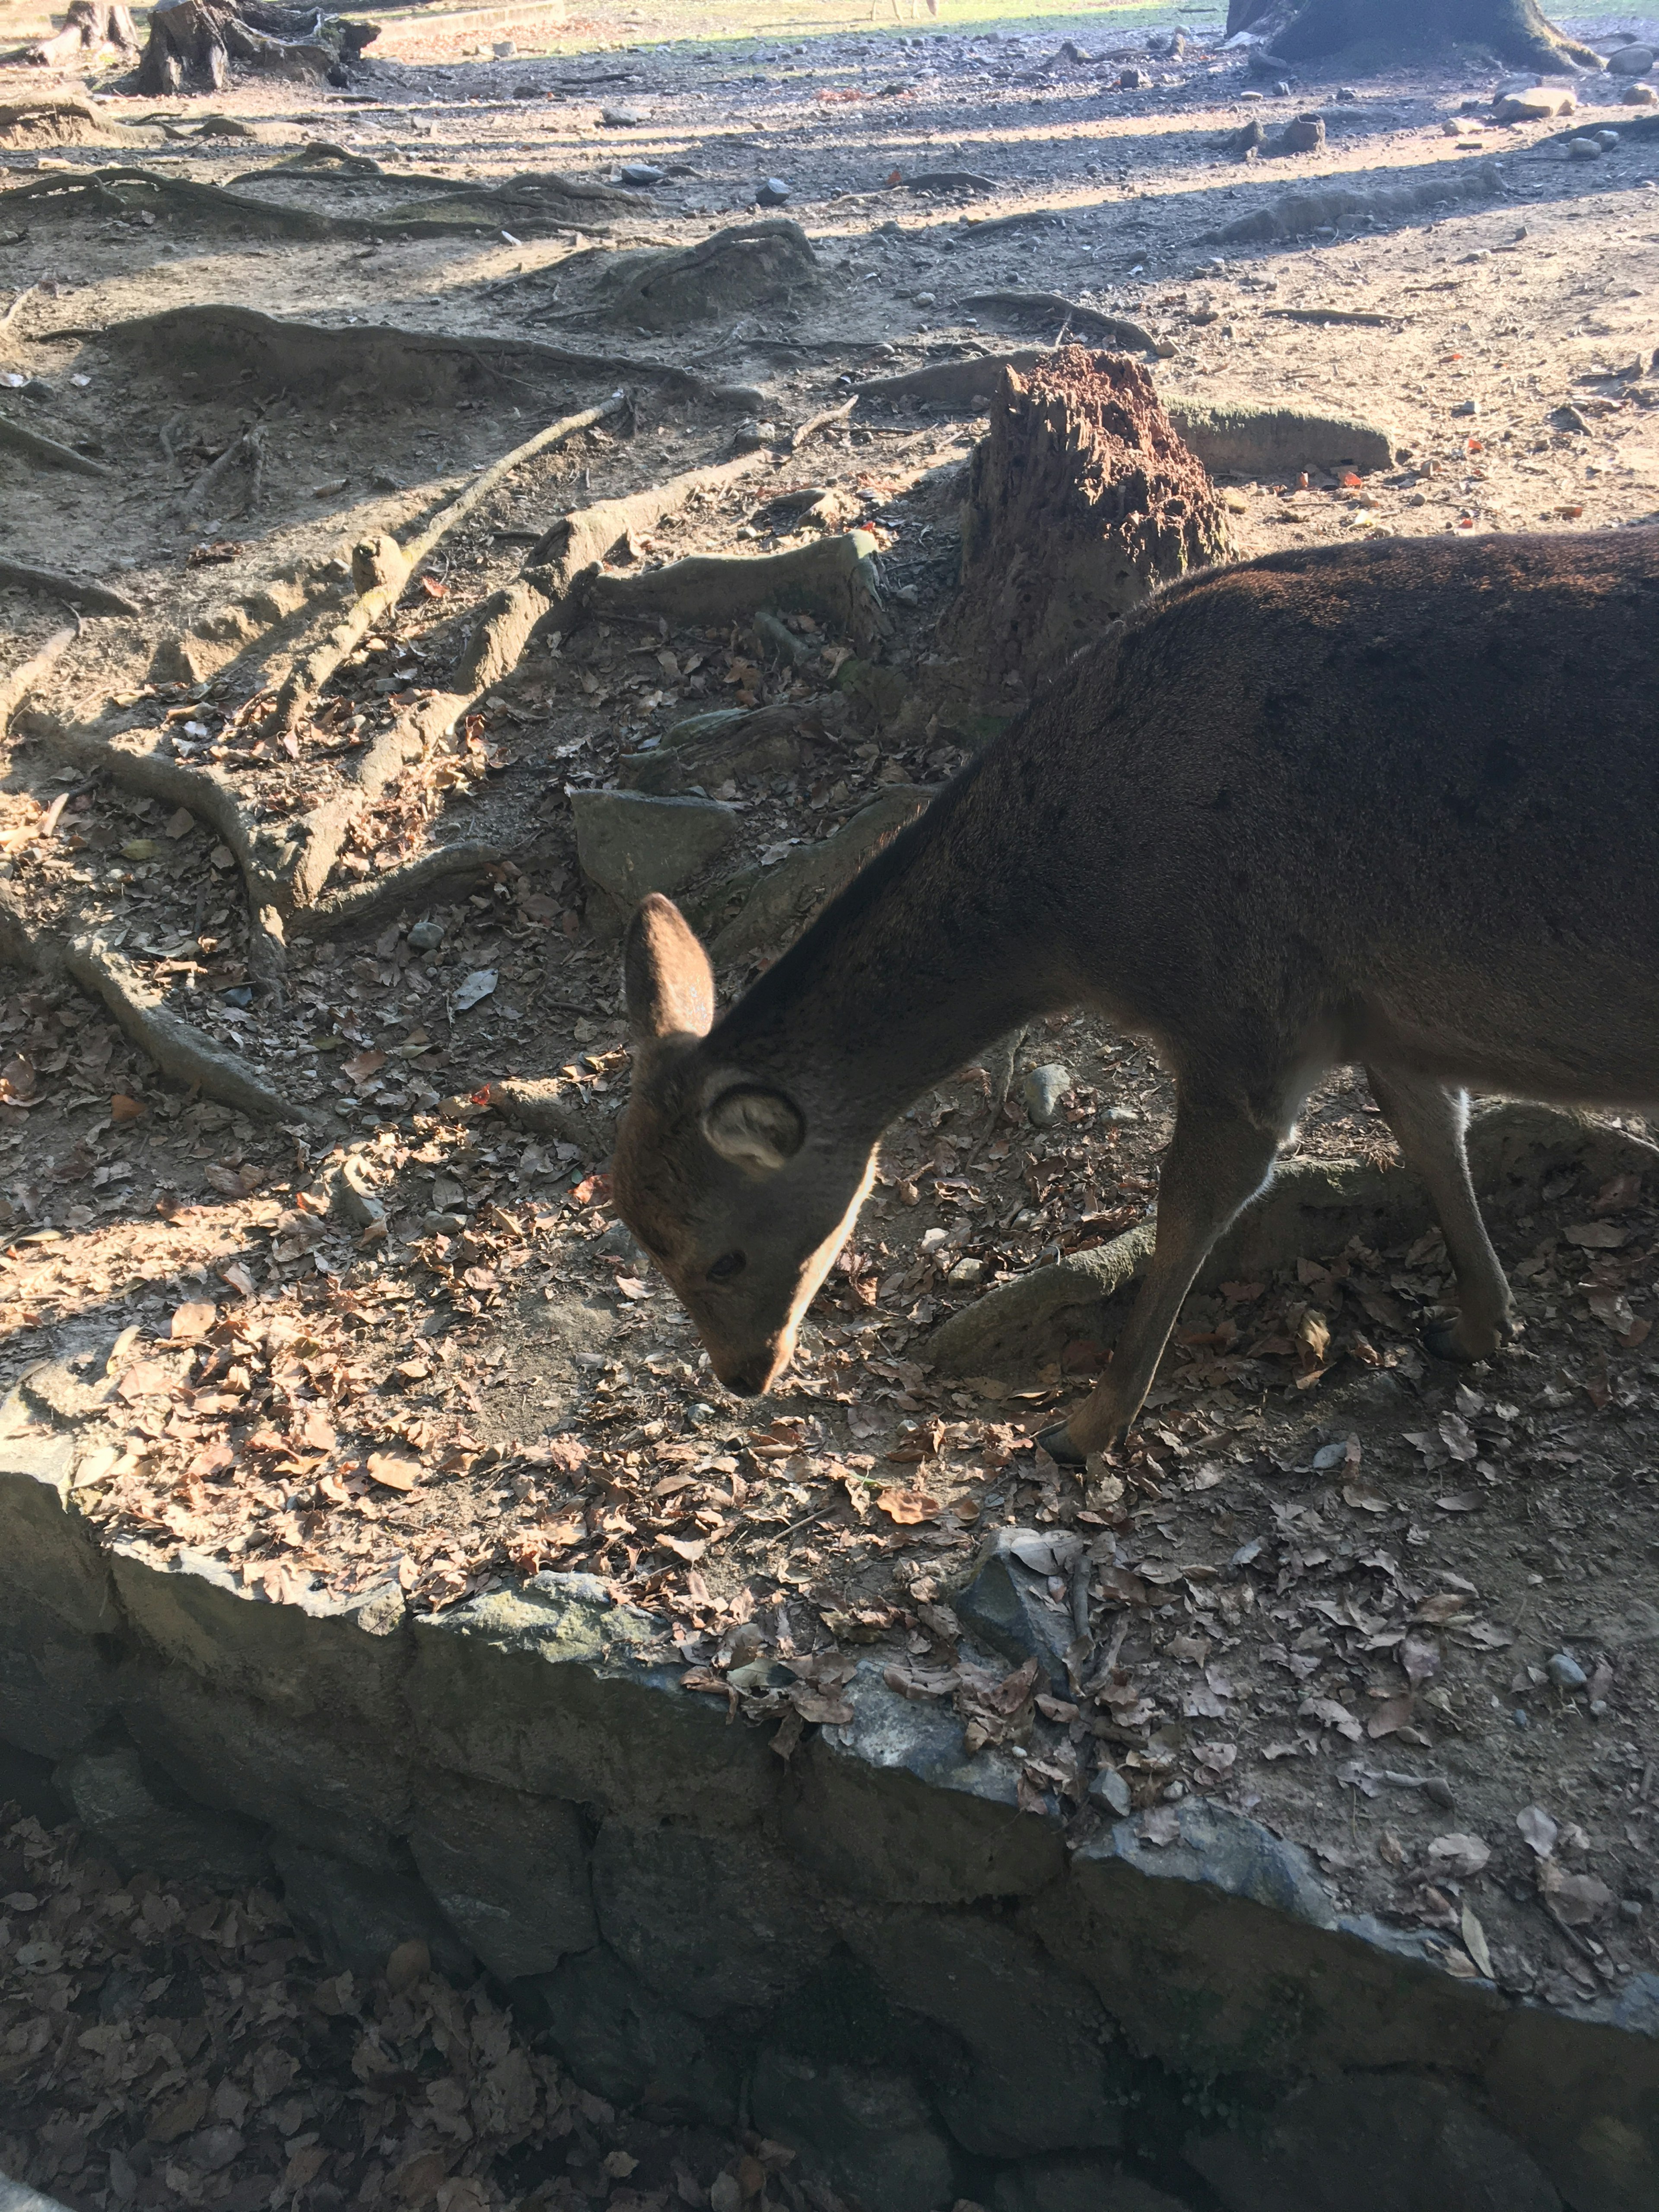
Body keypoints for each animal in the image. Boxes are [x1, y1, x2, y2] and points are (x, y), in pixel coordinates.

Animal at [610, 531, 1659, 1468]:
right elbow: (1434, 1131)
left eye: (721, 1256)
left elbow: (1191, 1203)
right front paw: (1479, 1324)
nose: (743, 1376)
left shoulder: (1244, 1014)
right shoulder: (1375, 1012)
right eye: (646, 1248)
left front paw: (1081, 1430)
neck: (1087, 918)